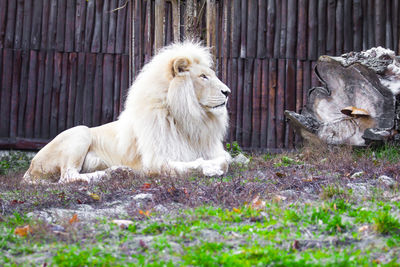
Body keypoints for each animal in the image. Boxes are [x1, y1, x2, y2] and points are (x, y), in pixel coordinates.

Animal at [22, 41, 231, 184]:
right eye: (203, 77)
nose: (228, 92)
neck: (190, 119)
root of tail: (30, 168)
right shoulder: (155, 162)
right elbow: (189, 164)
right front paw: (208, 168)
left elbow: (225, 161)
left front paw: (215, 167)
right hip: (80, 131)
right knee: (67, 176)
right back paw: (109, 174)